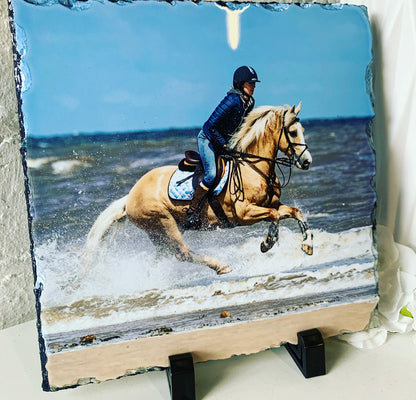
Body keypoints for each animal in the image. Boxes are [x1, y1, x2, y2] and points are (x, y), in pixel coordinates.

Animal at [83, 102, 313, 276]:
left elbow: (294, 212)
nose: (307, 161)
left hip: (160, 233)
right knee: (182, 252)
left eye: (303, 131)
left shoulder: (272, 205)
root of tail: (130, 197)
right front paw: (267, 243)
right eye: (293, 132)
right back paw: (221, 266)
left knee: (166, 256)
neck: (253, 168)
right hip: (164, 223)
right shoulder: (244, 213)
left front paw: (307, 245)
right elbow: (274, 215)